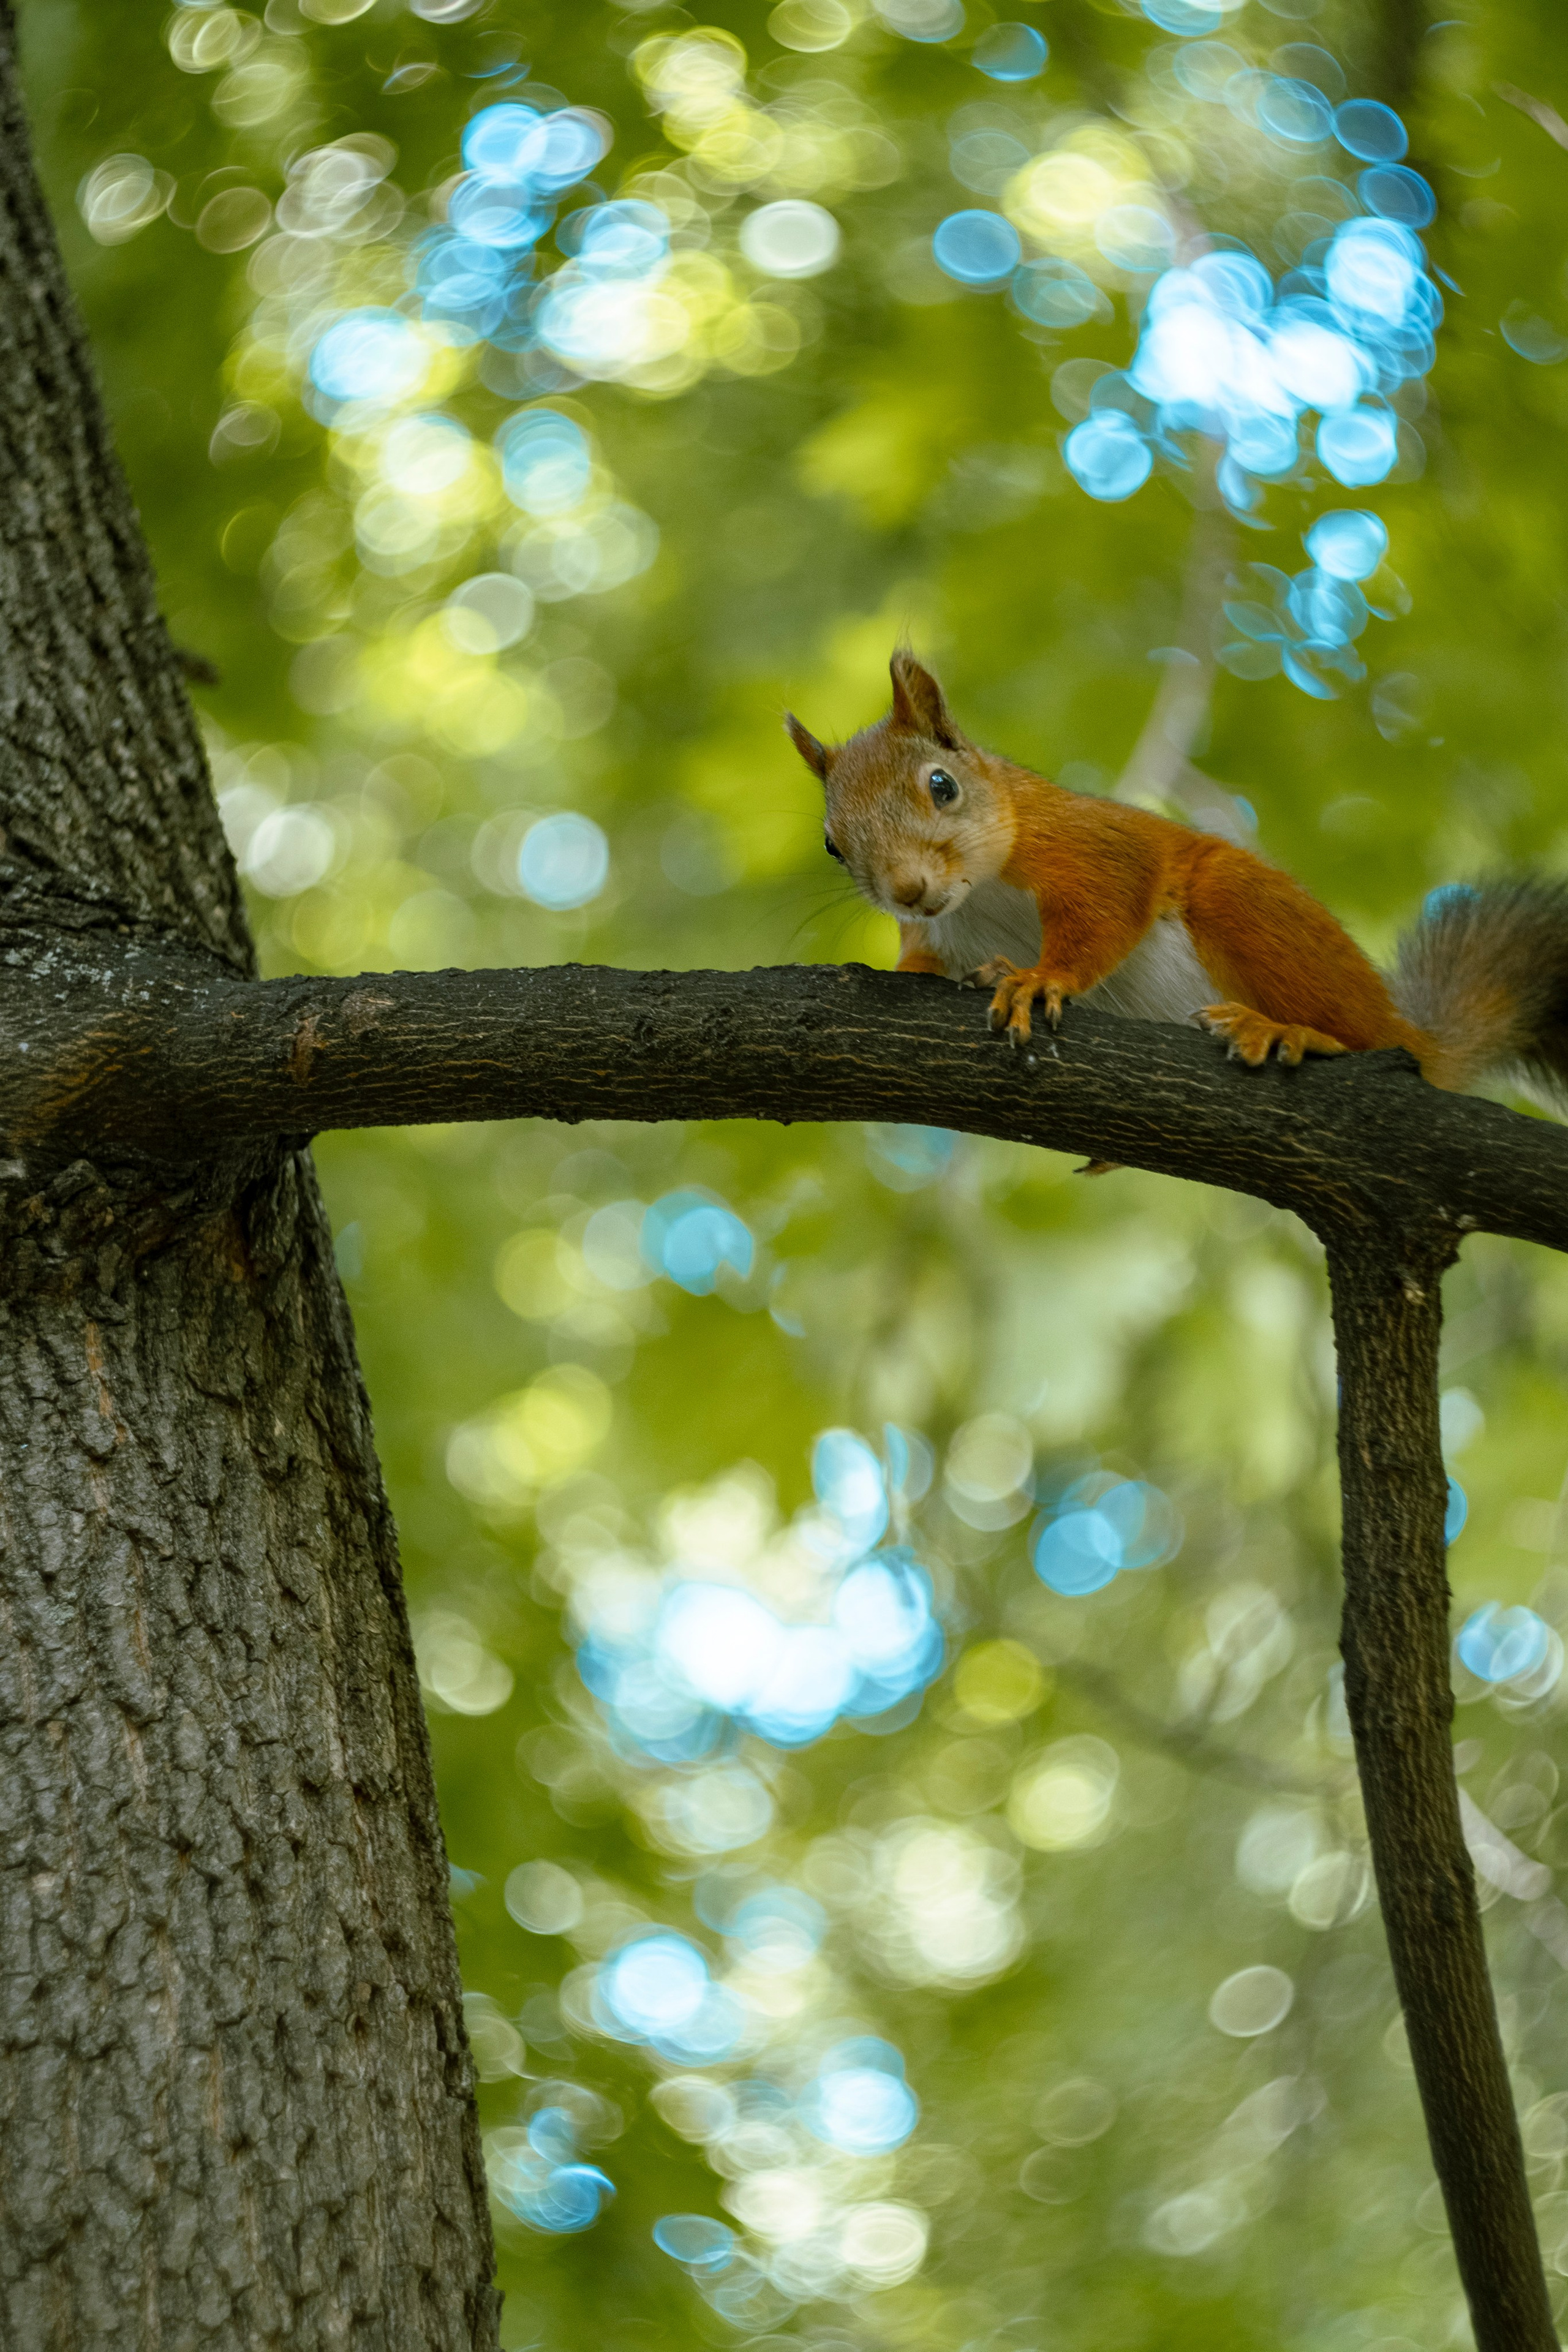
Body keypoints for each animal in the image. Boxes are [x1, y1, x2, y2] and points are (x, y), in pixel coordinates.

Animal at [784, 648, 1568, 1108]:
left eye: (941, 786)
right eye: (832, 846)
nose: (908, 891)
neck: (980, 897)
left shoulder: (1089, 846)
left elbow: (1105, 909)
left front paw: (1040, 979)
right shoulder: (936, 934)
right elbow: (921, 964)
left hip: (1247, 908)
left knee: (1365, 1038)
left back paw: (1291, 1030)